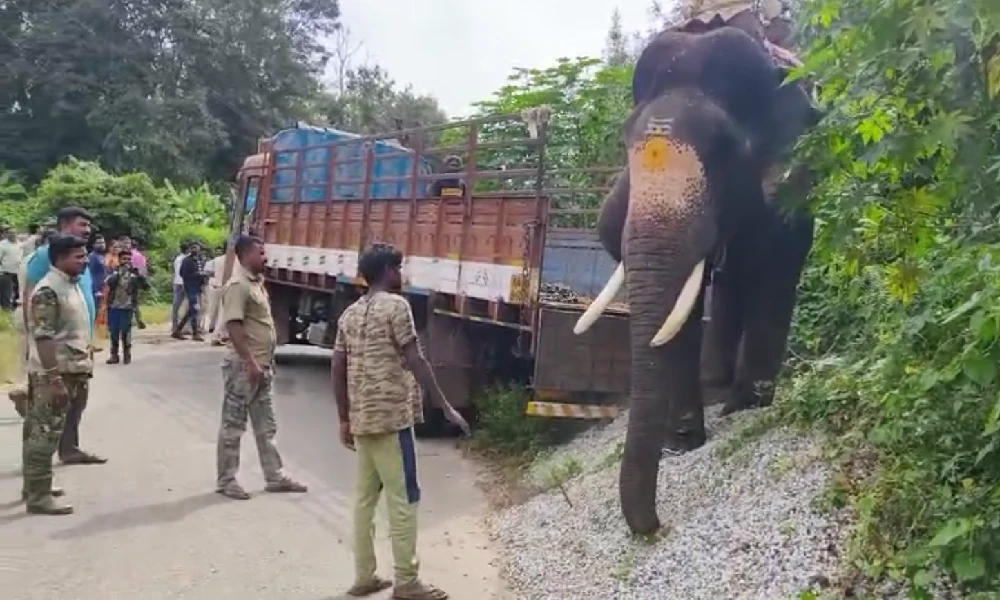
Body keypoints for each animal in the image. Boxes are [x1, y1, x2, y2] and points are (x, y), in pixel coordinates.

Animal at [572, 10, 820, 536]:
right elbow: (681, 309)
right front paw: (683, 442)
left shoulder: (791, 186)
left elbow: (775, 271)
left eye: (724, 148)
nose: (652, 526)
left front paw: (747, 407)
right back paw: (716, 385)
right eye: (624, 141)